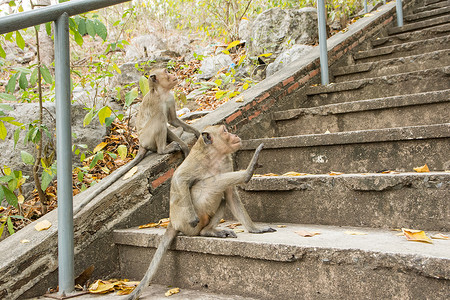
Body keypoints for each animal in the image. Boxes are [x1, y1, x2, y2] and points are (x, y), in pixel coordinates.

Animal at [73, 69, 198, 217]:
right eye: (166, 73)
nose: (173, 75)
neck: (161, 93)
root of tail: (141, 144)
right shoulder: (157, 104)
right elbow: (165, 122)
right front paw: (184, 147)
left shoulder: (170, 98)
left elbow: (173, 120)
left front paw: (197, 133)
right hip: (148, 137)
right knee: (160, 120)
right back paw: (164, 149)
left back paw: (178, 133)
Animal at [125, 124, 276, 300]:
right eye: (225, 131)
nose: (235, 135)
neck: (215, 156)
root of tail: (173, 223)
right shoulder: (196, 161)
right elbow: (179, 179)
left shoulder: (226, 162)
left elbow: (230, 195)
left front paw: (254, 229)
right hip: (187, 225)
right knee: (206, 185)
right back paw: (246, 174)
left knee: (222, 198)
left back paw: (208, 231)